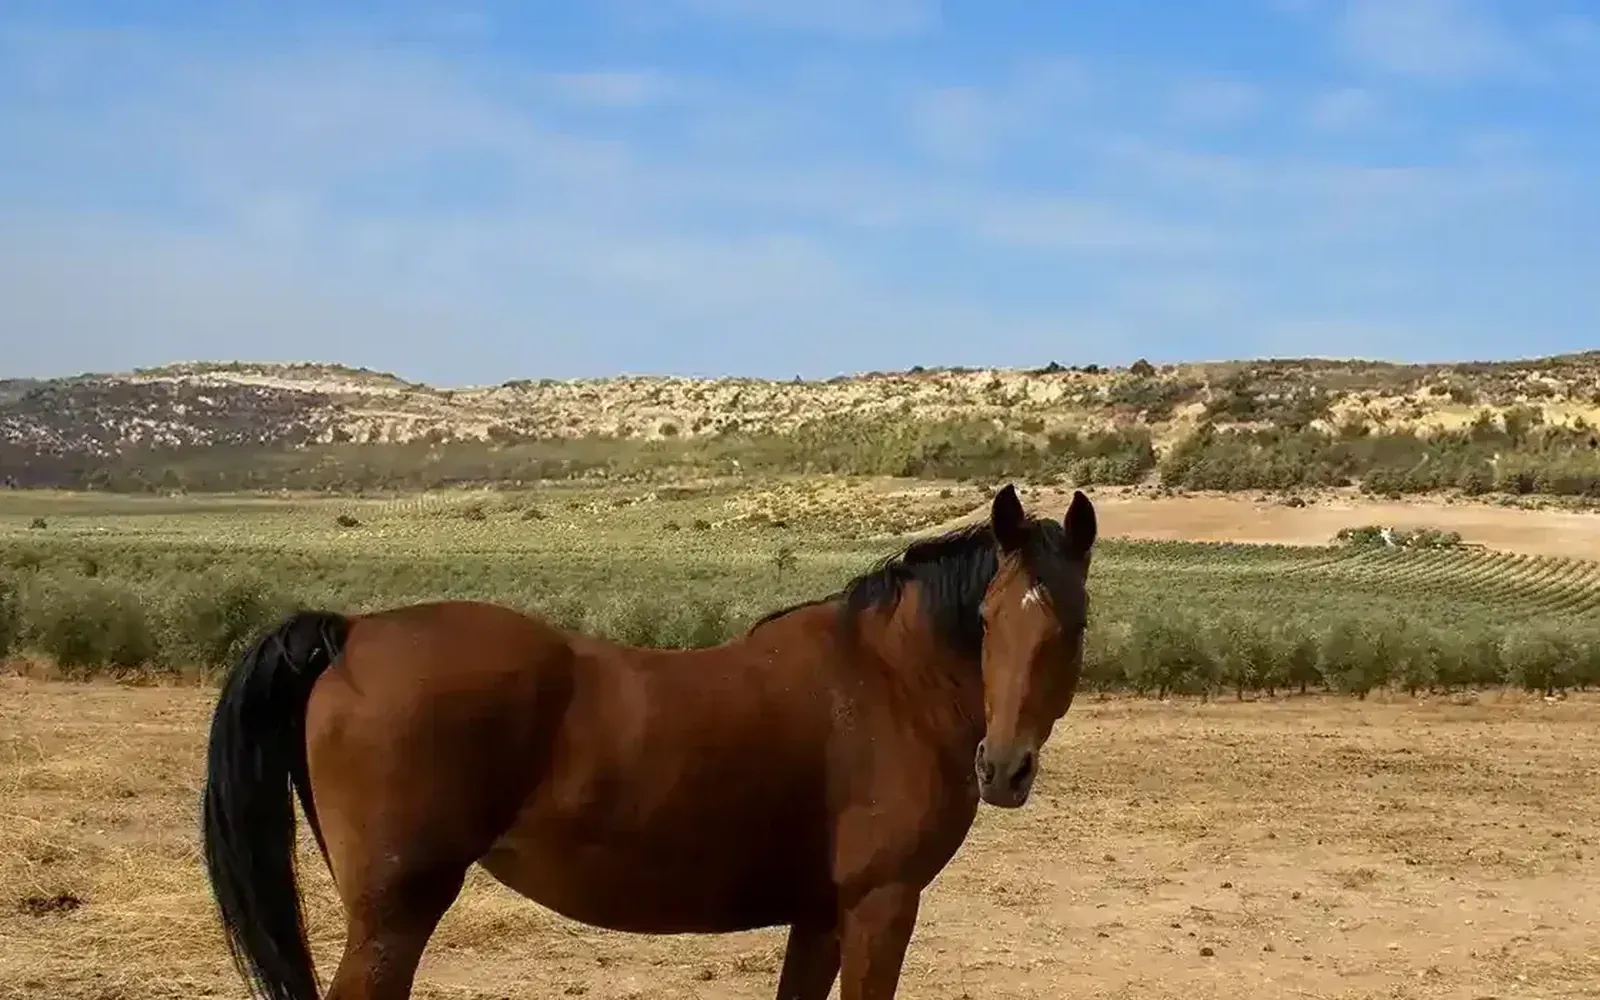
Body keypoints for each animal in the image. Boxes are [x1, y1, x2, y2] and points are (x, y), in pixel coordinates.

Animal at [200, 483, 1098, 1000]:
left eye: (1073, 622)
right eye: (987, 619)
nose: (1003, 768)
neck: (889, 683)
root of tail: (351, 633)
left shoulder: (820, 915)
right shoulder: (881, 906)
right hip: (393, 919)